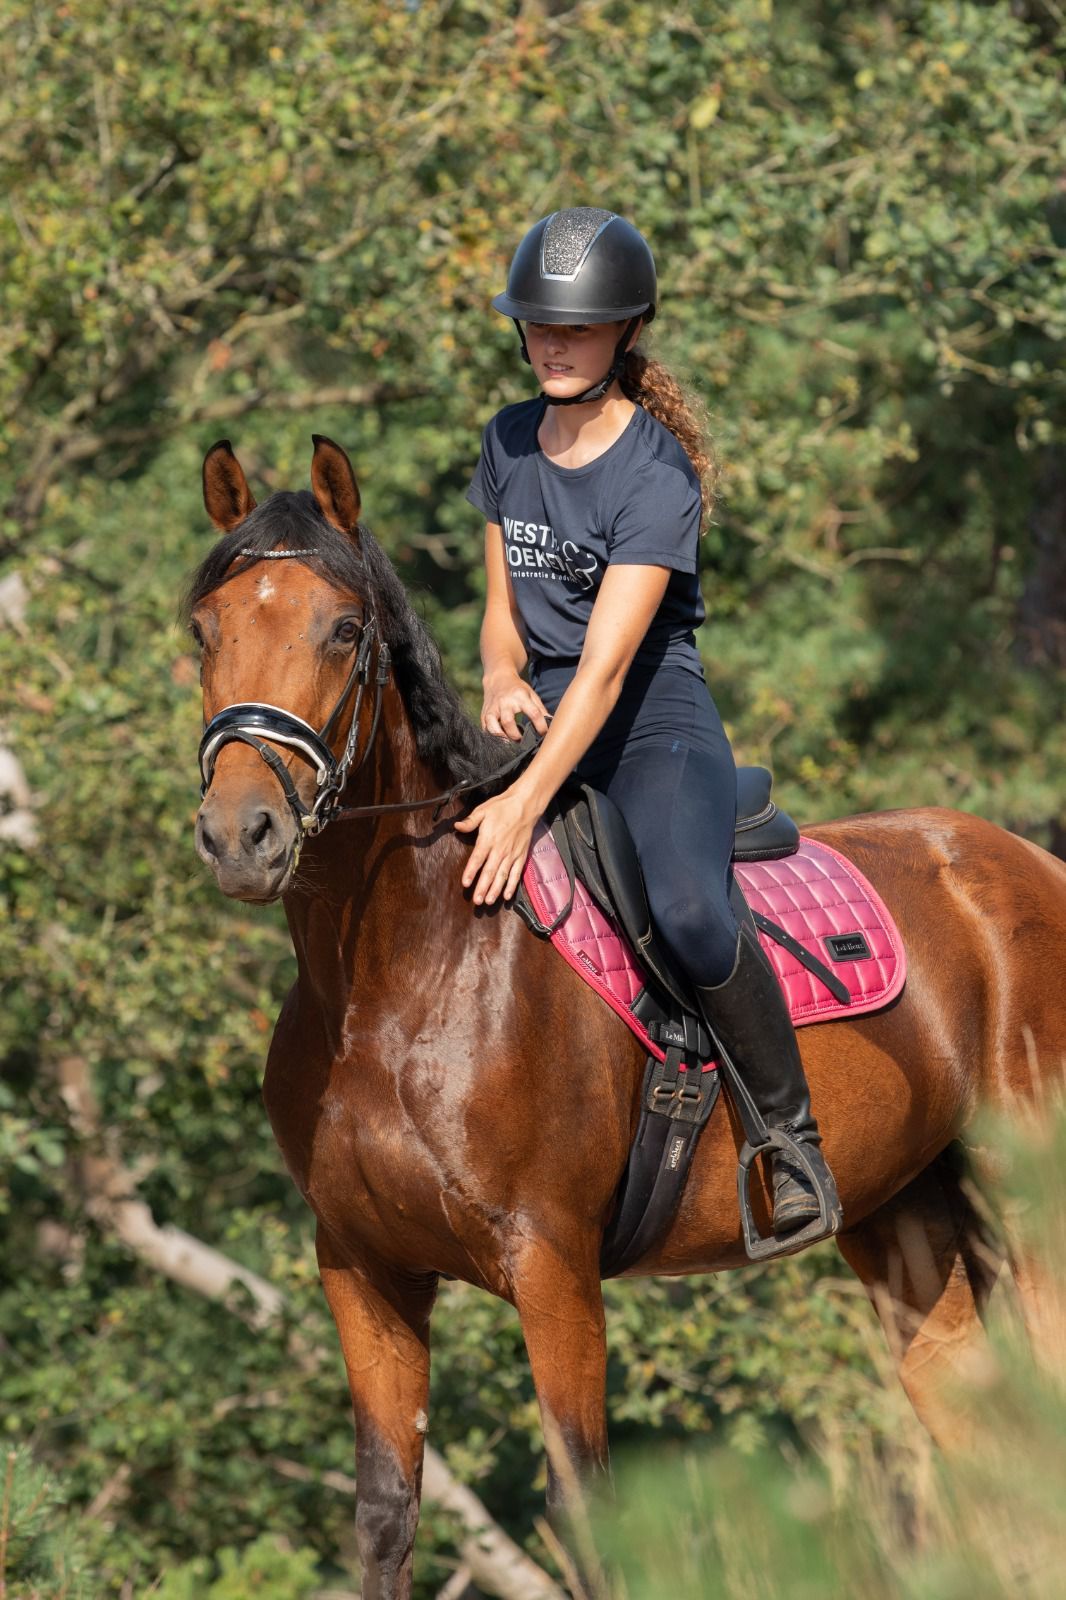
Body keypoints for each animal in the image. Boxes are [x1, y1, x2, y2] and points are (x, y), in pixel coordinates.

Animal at [188, 435, 1065, 1600]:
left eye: (342, 630)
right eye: (205, 630)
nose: (242, 834)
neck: (397, 981)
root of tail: (1024, 864)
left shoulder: (550, 1265)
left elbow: (585, 1513)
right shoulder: (363, 1270)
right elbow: (384, 1516)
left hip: (1029, 1203)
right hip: (906, 1221)